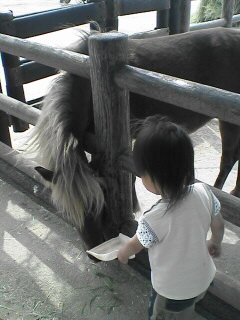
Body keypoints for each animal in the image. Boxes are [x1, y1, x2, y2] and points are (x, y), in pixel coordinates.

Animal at [29, 26, 240, 249]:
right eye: (67, 211)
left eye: (98, 205)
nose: (93, 249)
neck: (87, 84)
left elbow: (128, 175)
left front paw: (131, 209)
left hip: (228, 121)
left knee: (228, 159)